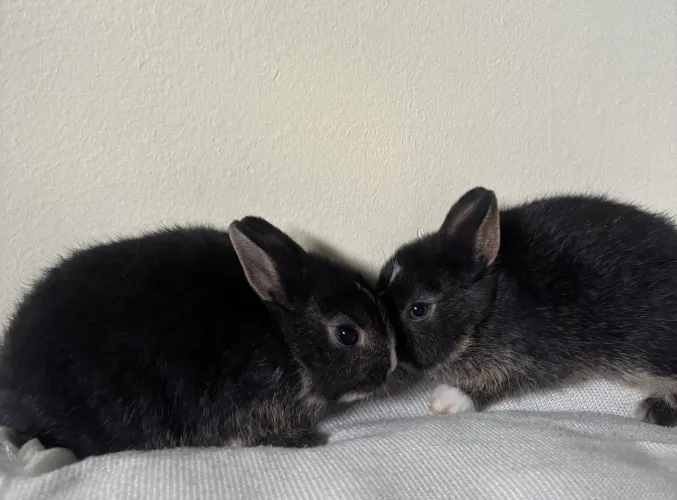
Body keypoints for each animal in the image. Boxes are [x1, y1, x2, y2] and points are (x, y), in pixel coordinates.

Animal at [378, 187, 677, 426]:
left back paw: (652, 410)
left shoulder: (529, 360)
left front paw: (446, 400)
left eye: (418, 309)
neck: (486, 309)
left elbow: (499, 381)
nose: (390, 355)